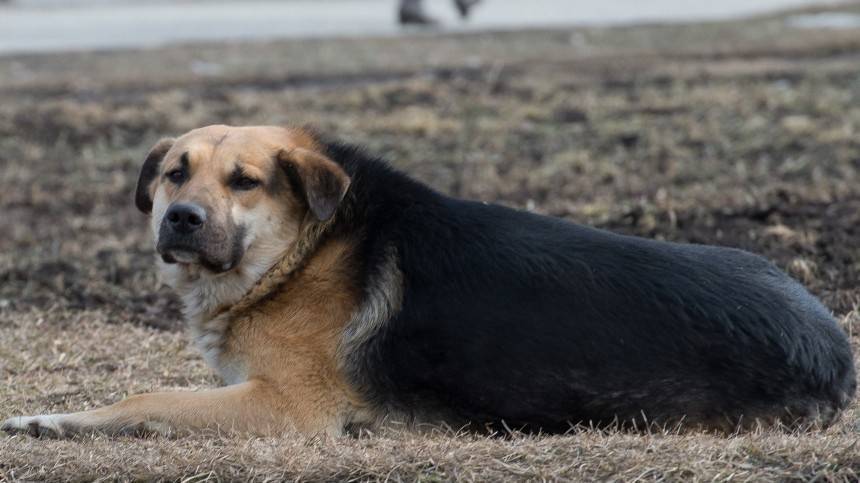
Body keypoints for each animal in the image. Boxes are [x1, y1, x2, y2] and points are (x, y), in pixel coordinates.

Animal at [3, 125, 856, 438]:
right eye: (174, 173)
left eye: (245, 182)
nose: (178, 218)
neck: (305, 249)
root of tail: (833, 346)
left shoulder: (291, 406)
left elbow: (147, 397)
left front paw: (50, 419)